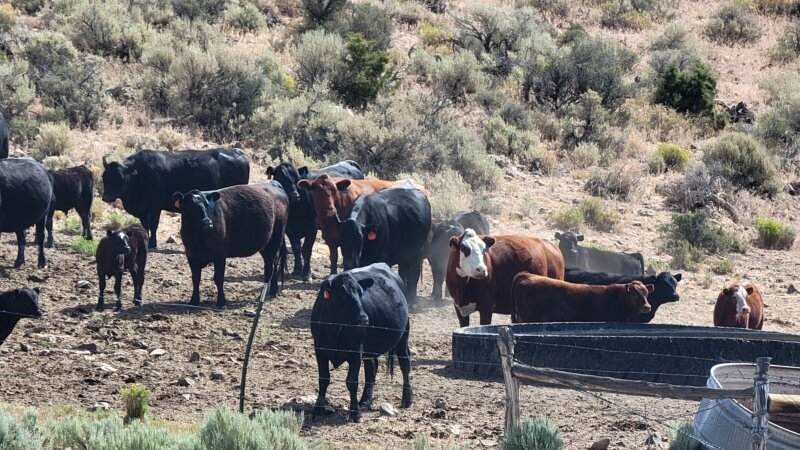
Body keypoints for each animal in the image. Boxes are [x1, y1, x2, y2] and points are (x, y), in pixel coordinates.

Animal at [101, 148, 250, 249]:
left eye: (120, 178)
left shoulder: (155, 207)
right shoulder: (143, 210)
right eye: (104, 177)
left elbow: (153, 225)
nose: (106, 197)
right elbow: (145, 226)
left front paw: (153, 243)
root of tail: (237, 151)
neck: (140, 175)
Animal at [310, 263, 412, 422]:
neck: (335, 328)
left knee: (405, 364)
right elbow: (323, 379)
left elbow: (352, 381)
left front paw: (355, 413)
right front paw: (318, 408)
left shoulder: (356, 351)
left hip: (403, 336)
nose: (363, 319)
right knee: (372, 368)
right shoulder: (319, 349)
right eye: (341, 294)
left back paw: (407, 399)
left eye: (360, 292)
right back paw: (364, 402)